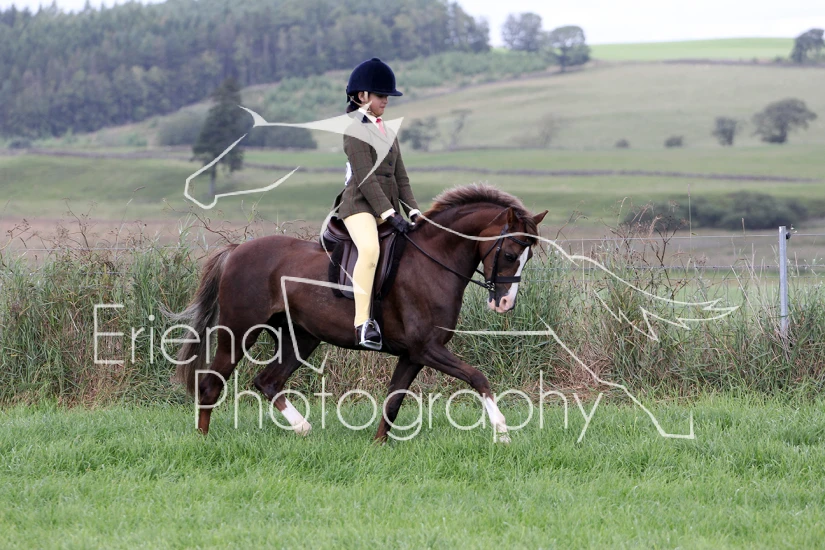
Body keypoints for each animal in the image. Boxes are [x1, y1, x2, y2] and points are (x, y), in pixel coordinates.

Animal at [168, 184, 547, 442]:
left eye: (527, 256)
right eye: (510, 254)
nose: (504, 304)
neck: (432, 261)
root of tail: (235, 251)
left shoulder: (413, 354)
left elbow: (394, 400)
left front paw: (378, 445)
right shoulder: (428, 348)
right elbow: (477, 377)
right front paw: (502, 432)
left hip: (301, 337)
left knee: (268, 381)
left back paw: (302, 428)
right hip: (239, 331)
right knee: (211, 384)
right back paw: (204, 440)